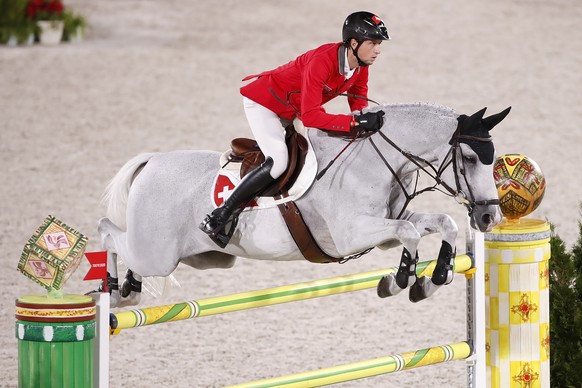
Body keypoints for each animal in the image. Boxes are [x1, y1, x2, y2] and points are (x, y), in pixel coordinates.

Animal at [97, 101, 512, 308]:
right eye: (470, 159)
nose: (489, 216)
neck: (373, 160)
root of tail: (153, 161)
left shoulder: (386, 230)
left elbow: (443, 223)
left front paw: (434, 278)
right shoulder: (350, 235)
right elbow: (410, 233)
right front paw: (399, 282)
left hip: (207, 258)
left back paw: (128, 288)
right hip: (159, 254)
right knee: (108, 232)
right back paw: (114, 289)